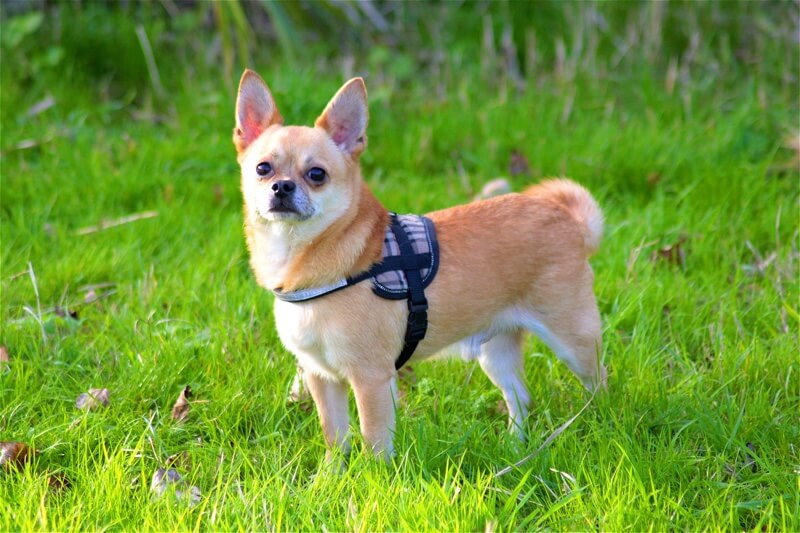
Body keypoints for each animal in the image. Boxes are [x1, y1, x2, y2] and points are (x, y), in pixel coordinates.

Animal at [231, 69, 608, 462]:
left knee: (598, 382)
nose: (282, 186)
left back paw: (598, 422)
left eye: (317, 174)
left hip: (574, 342)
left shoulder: (371, 379)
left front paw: (374, 474)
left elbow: (374, 440)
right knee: (520, 397)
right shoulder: (322, 377)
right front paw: (330, 474)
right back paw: (515, 446)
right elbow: (335, 435)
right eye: (262, 168)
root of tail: (566, 217)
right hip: (496, 351)